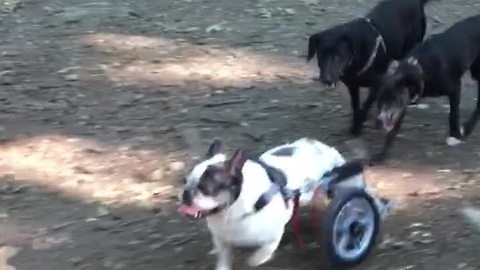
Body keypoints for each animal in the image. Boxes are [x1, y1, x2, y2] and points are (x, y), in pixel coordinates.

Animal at [308, 0, 436, 135]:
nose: (325, 79)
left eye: (337, 56)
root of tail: (417, 2)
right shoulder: (353, 86)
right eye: (321, 54)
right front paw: (356, 125)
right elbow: (356, 105)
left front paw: (359, 124)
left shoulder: (378, 83)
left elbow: (366, 104)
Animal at [376, 14, 480, 162]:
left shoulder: (455, 88)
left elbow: (453, 115)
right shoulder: (404, 103)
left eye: (393, 99)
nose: (378, 121)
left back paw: (468, 127)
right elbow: (392, 131)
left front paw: (455, 135)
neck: (421, 69)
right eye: (379, 99)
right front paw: (382, 154)